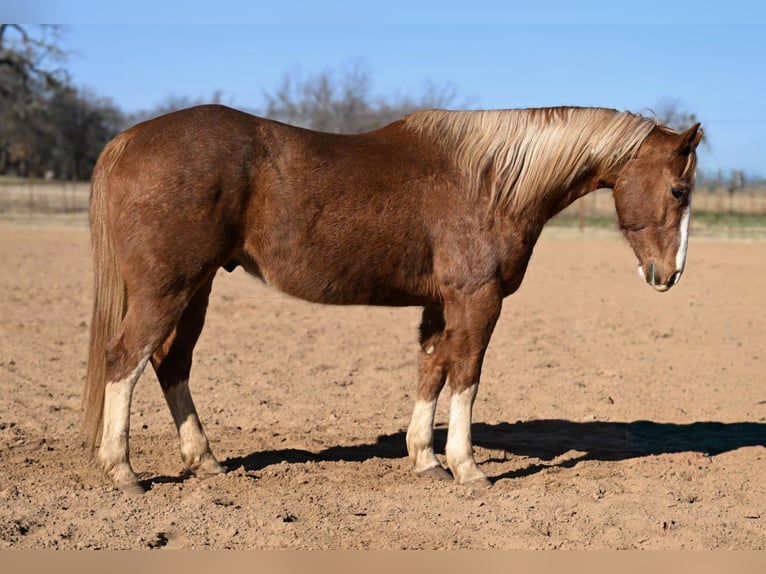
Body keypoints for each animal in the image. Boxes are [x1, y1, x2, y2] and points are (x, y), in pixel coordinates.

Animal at [83, 104, 703, 494]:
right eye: (679, 190)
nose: (670, 274)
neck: (488, 182)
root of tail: (126, 140)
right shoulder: (477, 301)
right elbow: (466, 377)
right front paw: (467, 468)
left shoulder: (439, 306)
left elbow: (431, 372)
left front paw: (426, 459)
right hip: (169, 288)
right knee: (125, 359)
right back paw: (122, 471)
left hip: (197, 287)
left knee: (171, 363)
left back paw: (205, 461)